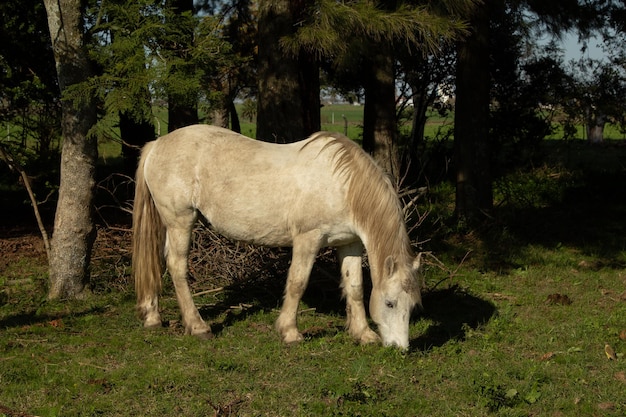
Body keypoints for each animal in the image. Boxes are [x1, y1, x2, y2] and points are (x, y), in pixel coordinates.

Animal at [133, 123, 422, 348]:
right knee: (177, 268)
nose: (399, 348)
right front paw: (290, 332)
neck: (342, 184)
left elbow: (355, 288)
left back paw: (152, 317)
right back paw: (198, 326)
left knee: (156, 264)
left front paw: (363, 334)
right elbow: (297, 283)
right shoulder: (308, 239)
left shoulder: (349, 243)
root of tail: (157, 145)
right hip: (181, 221)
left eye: (412, 306)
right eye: (390, 303)